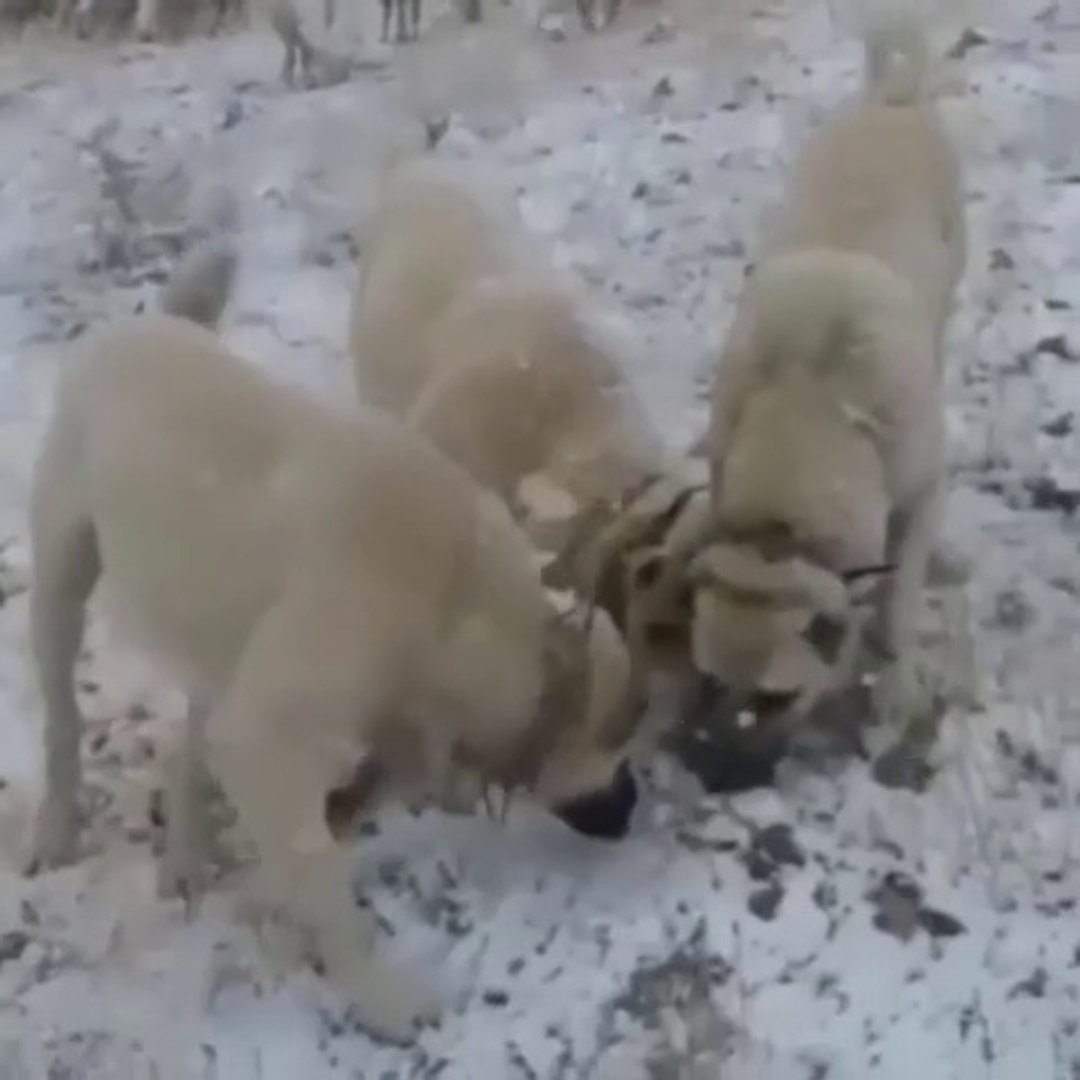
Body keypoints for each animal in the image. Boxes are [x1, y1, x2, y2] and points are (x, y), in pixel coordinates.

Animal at [25, 247, 639, 1045]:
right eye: (622, 734)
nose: (632, 809)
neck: (455, 596)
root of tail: (147, 324)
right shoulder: (269, 737)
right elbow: (322, 879)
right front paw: (380, 995)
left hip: (218, 636)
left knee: (192, 743)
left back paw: (187, 853)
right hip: (63, 579)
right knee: (63, 718)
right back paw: (56, 828)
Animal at [691, 2, 972, 786]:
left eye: (776, 697)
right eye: (709, 681)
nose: (710, 771)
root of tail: (892, 97)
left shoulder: (922, 491)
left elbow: (896, 607)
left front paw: (893, 687)